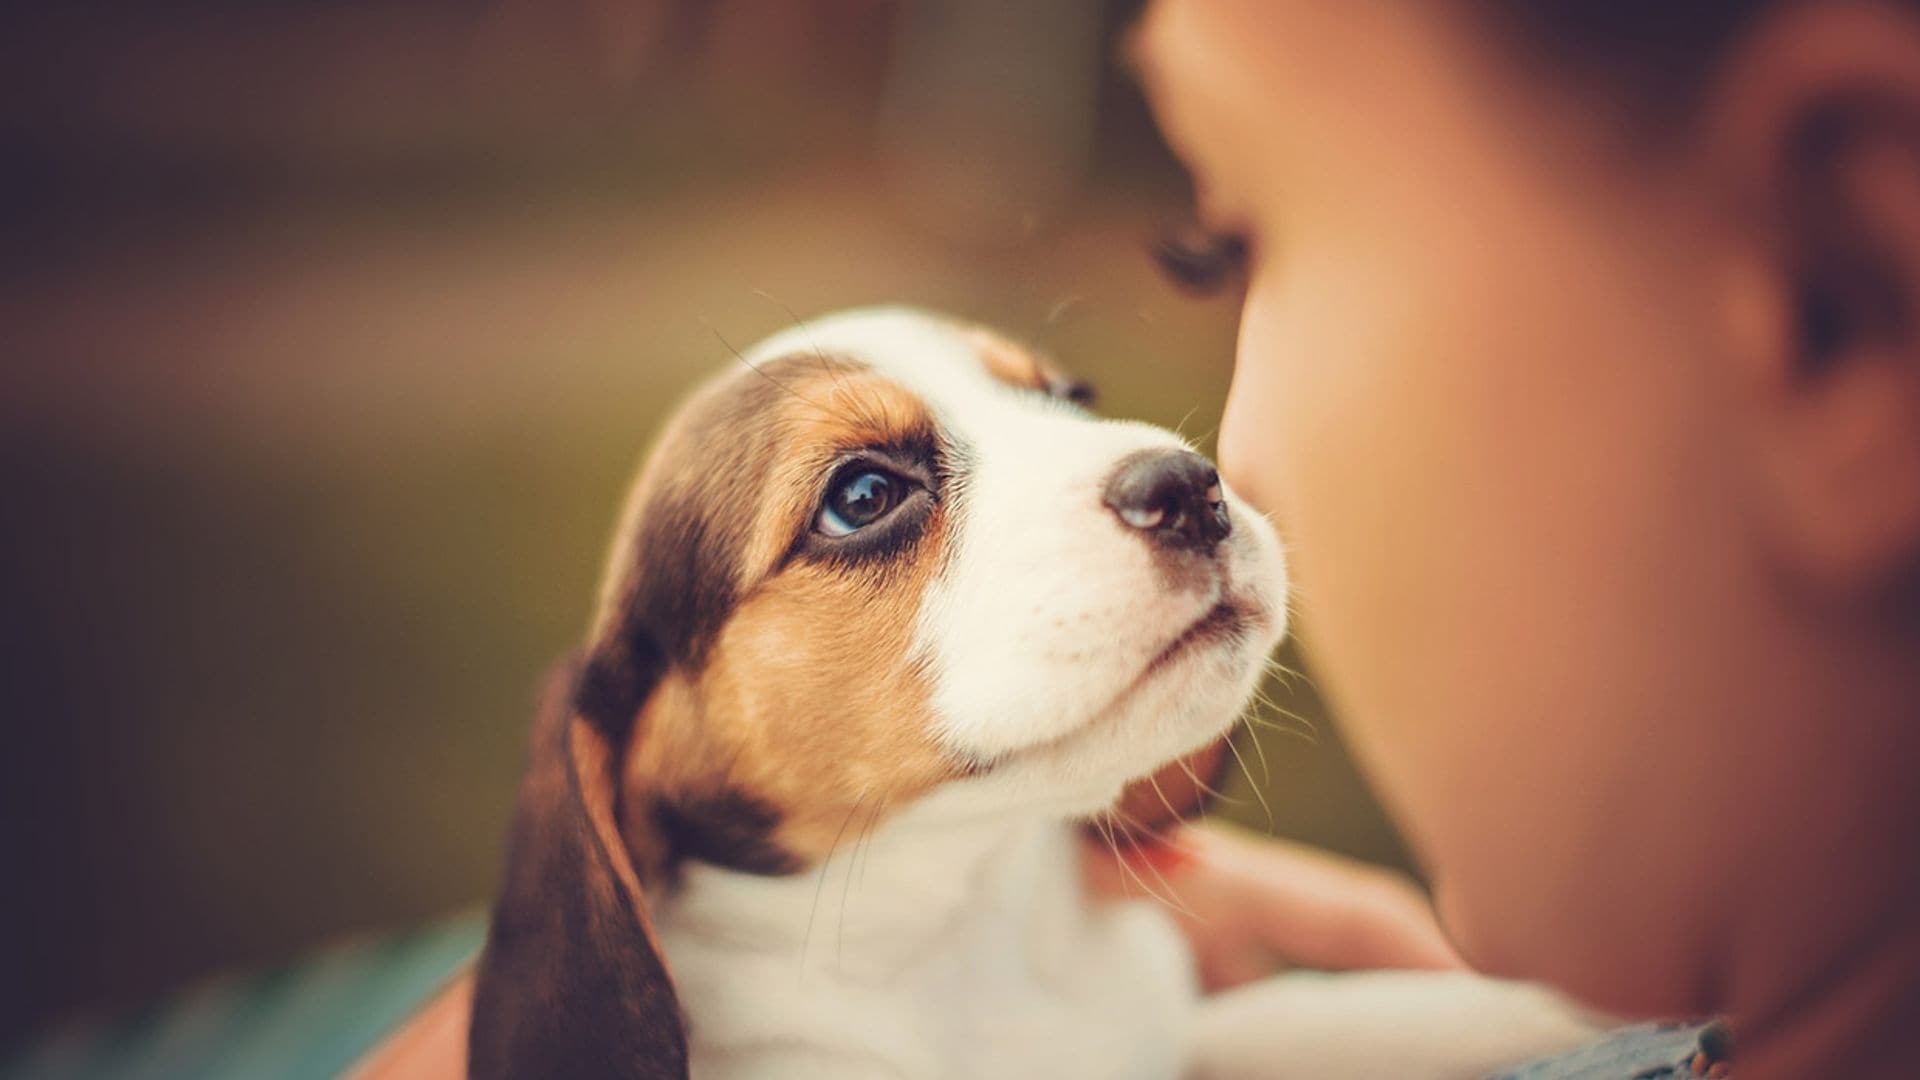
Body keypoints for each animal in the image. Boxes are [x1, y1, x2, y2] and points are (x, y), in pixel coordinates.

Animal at [468, 307, 1605, 1068]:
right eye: (862, 495)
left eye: (1067, 398)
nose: (1191, 485)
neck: (962, 927)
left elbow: (1278, 1025)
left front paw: (1503, 1012)